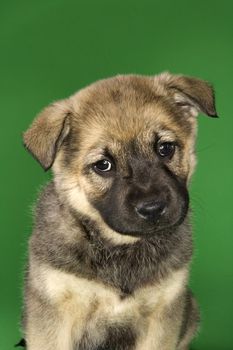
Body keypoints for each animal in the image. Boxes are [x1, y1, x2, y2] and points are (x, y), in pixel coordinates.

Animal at [19, 72, 218, 348]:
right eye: (103, 165)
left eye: (165, 148)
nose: (153, 208)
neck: (120, 248)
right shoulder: (53, 314)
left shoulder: (164, 312)